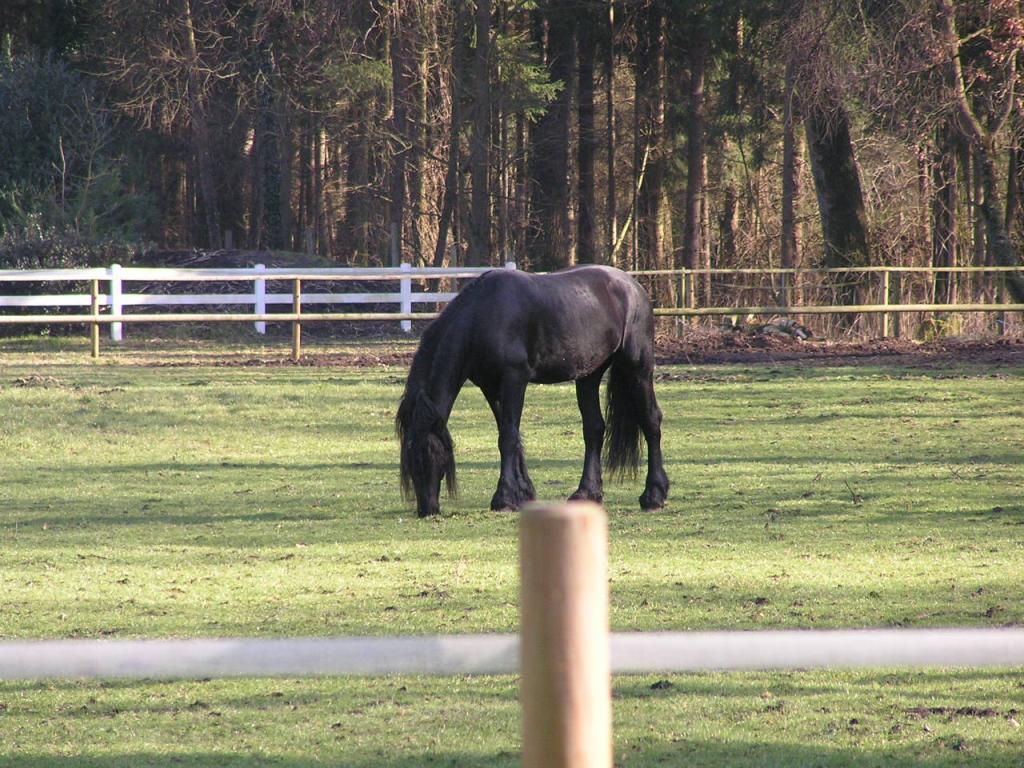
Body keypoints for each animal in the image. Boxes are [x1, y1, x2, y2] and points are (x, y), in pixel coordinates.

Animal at [395, 264, 669, 518]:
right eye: (408, 458)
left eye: (429, 453)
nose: (427, 509)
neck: (483, 315)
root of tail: (633, 287)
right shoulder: (491, 387)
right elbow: (511, 435)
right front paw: (523, 493)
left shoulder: (514, 378)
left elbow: (507, 437)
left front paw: (504, 498)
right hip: (588, 376)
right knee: (594, 428)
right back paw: (586, 494)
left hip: (637, 368)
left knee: (651, 421)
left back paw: (654, 495)